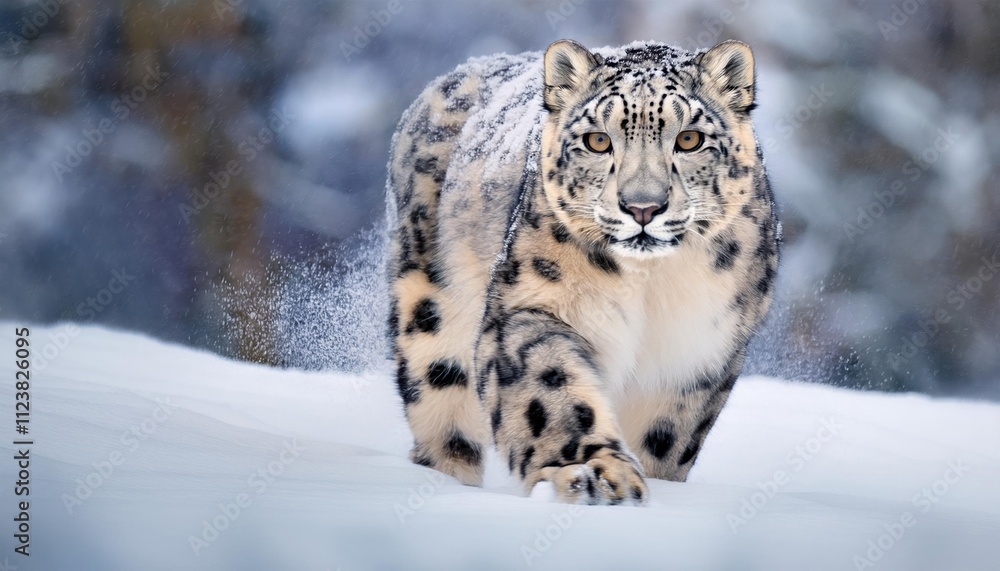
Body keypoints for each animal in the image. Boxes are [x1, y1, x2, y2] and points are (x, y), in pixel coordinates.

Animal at [385, 39, 779, 505]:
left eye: (689, 138)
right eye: (597, 140)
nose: (642, 207)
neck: (652, 286)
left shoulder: (699, 351)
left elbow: (665, 435)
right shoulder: (531, 307)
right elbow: (552, 387)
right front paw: (596, 475)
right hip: (430, 310)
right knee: (441, 404)